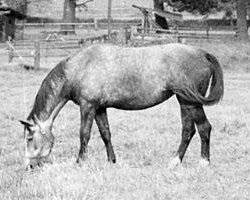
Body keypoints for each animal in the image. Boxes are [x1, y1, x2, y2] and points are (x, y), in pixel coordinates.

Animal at [18, 43, 224, 169]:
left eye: (29, 138)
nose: (29, 166)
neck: (79, 68)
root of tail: (202, 53)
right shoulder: (99, 108)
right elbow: (105, 134)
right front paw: (112, 160)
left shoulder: (88, 106)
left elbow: (84, 134)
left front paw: (80, 161)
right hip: (184, 102)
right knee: (188, 130)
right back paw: (175, 161)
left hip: (191, 102)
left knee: (204, 128)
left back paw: (204, 162)